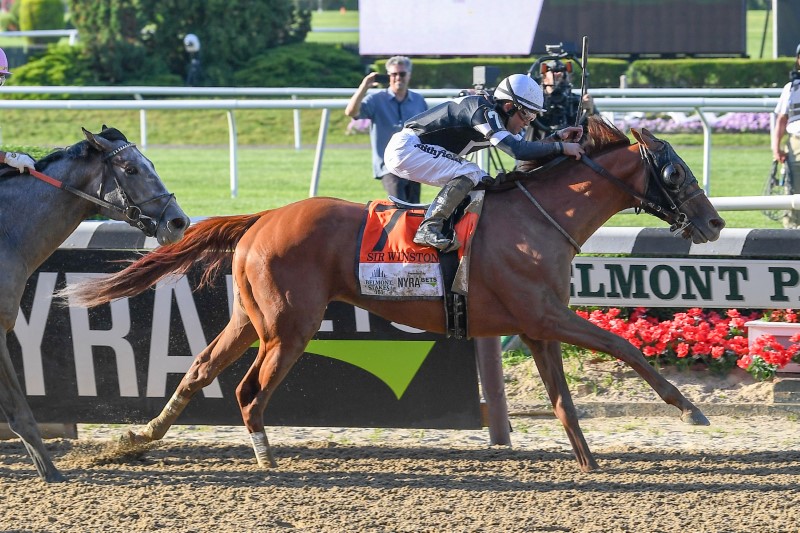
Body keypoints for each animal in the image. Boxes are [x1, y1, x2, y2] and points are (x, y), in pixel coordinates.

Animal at [62, 116, 724, 470]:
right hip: (288, 327)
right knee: (249, 389)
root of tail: (263, 217)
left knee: (200, 369)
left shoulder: (538, 326)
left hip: (252, 319)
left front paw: (588, 463)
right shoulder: (547, 316)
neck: (539, 218)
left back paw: (136, 440)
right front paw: (690, 409)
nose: (714, 223)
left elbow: (563, 401)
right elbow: (626, 347)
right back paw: (265, 456)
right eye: (677, 173)